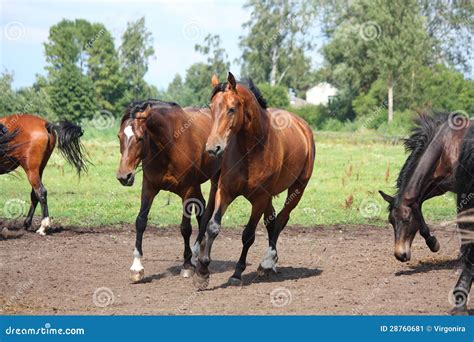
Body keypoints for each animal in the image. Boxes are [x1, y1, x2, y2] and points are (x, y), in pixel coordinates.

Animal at [116, 99, 220, 284]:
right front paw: (137, 267)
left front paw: (186, 266)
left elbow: (185, 228)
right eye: (119, 136)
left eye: (140, 138)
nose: (124, 176)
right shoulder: (149, 188)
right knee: (202, 210)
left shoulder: (187, 191)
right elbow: (140, 222)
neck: (170, 145)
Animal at [193, 73, 314, 288]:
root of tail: (303, 127)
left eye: (231, 109)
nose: (213, 148)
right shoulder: (225, 191)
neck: (251, 150)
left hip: (297, 189)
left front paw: (237, 273)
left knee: (280, 220)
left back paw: (267, 262)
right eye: (211, 107)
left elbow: (248, 235)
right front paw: (202, 271)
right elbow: (213, 226)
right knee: (271, 221)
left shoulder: (259, 199)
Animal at [378, 113, 474, 314]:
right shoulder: (436, 186)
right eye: (391, 221)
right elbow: (417, 204)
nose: (400, 255)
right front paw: (432, 242)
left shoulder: (462, 191)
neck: (445, 146)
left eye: (406, 220)